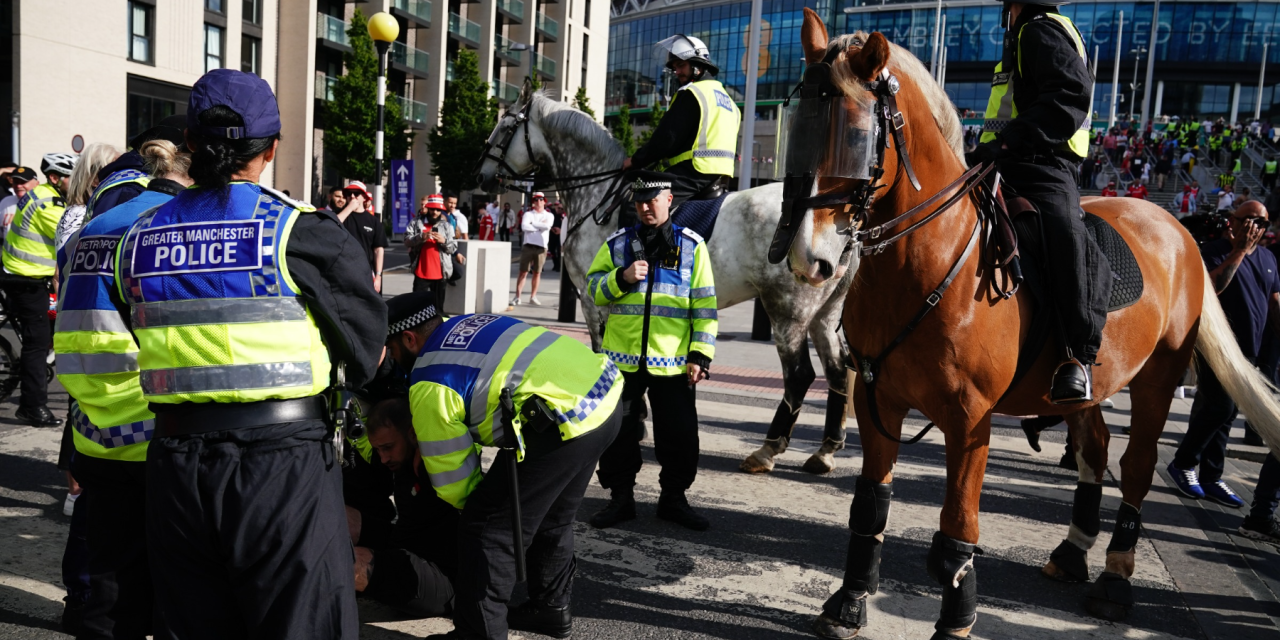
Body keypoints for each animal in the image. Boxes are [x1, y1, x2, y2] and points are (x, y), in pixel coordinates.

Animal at [476, 86, 855, 471]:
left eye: (505, 128)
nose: (482, 176)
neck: (600, 197)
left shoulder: (593, 298)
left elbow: (604, 351)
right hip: (825, 314)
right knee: (838, 370)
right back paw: (825, 450)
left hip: (786, 310)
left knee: (800, 376)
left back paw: (768, 449)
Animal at [793, 8, 1280, 640]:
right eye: (801, 124)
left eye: (857, 135)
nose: (810, 258)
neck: (928, 262)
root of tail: (1180, 229)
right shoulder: (881, 402)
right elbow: (869, 505)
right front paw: (850, 601)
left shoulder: (969, 421)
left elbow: (957, 528)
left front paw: (957, 619)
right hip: (1093, 380)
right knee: (1095, 448)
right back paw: (1073, 551)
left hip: (1156, 380)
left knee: (1137, 466)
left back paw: (1116, 578)